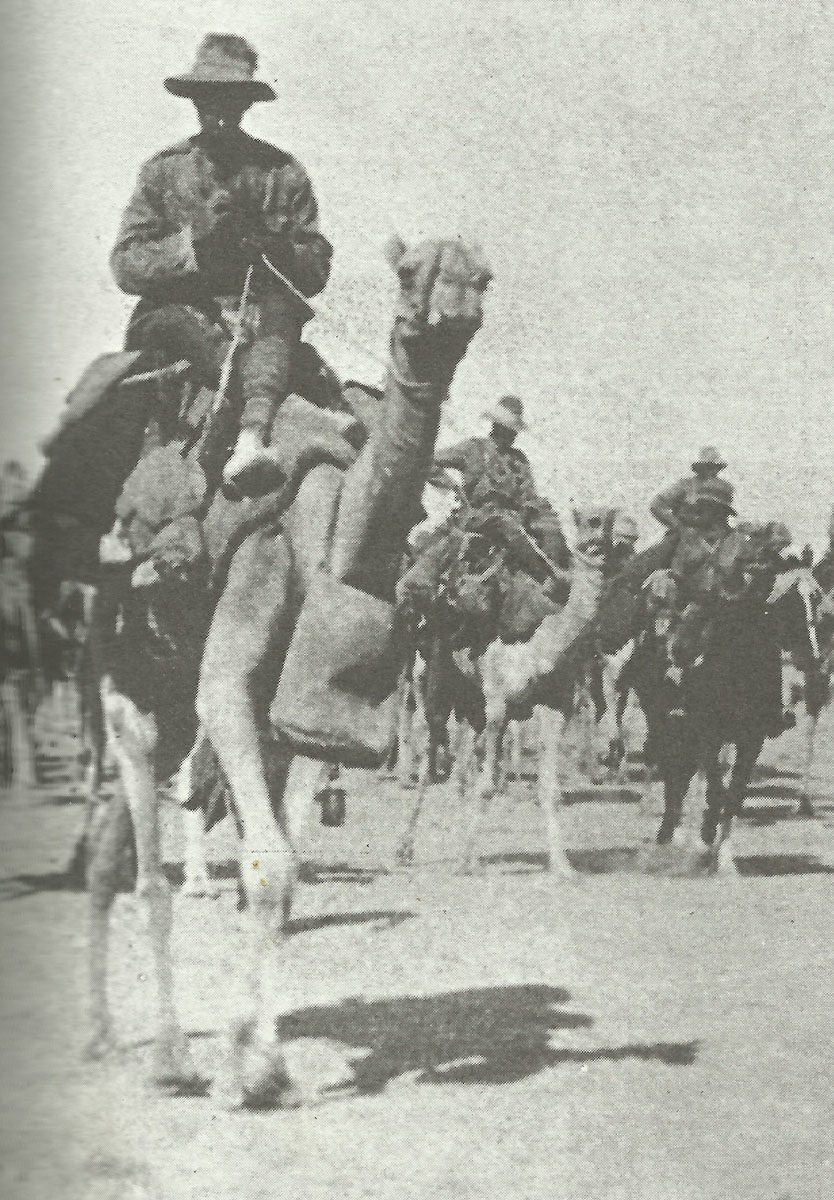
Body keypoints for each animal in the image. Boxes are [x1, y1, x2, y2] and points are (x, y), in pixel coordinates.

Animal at [86, 234, 489, 1104]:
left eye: (484, 275)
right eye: (410, 272)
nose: (455, 303)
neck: (328, 523)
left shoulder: (299, 714)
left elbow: (281, 868)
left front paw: (258, 1061)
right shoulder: (250, 591)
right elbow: (269, 862)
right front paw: (253, 1073)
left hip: (169, 695)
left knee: (108, 854)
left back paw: (102, 1034)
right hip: (127, 678)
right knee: (146, 862)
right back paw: (168, 1058)